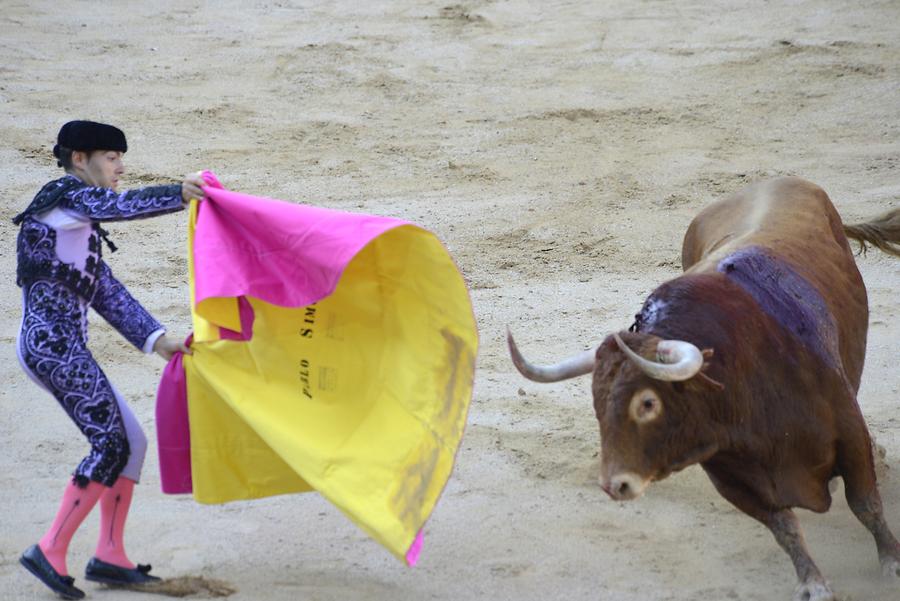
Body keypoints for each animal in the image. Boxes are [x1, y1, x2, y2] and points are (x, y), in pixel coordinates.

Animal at [510, 177, 896, 600]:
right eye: (597, 405)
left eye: (648, 403)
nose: (615, 485)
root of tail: (776, 180)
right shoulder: (731, 476)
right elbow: (784, 528)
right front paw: (813, 584)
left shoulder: (849, 433)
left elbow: (865, 504)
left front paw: (892, 564)